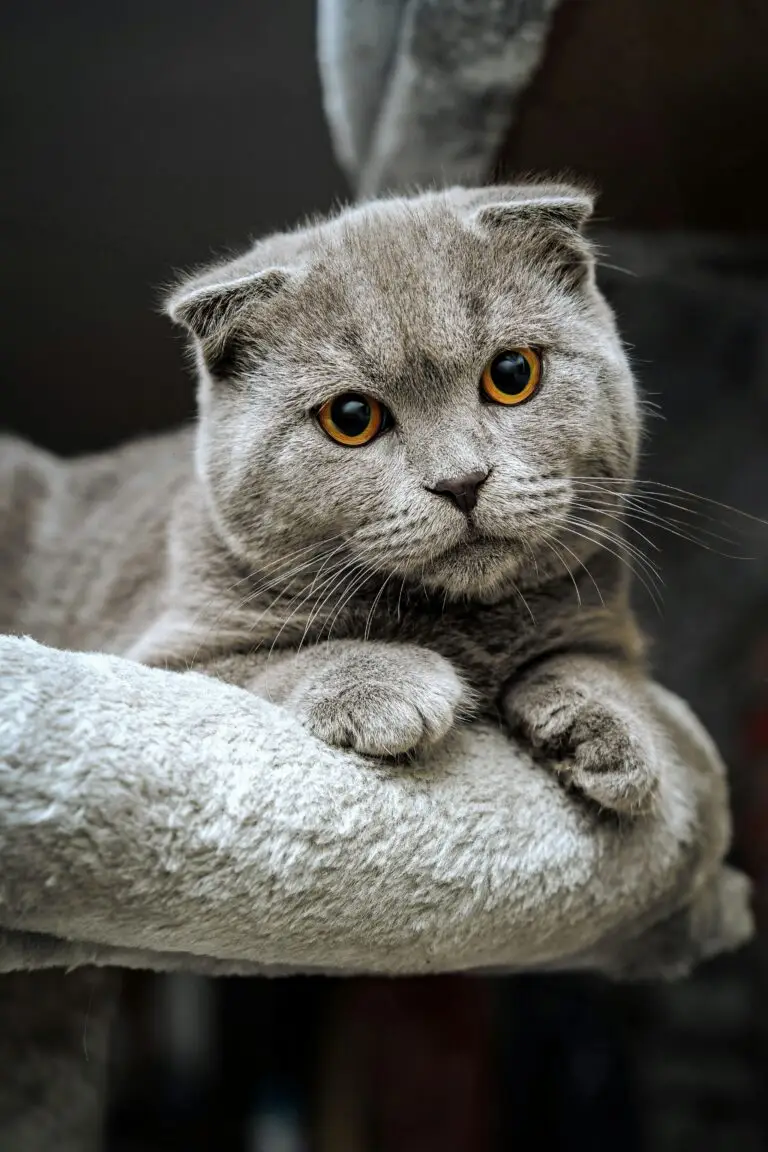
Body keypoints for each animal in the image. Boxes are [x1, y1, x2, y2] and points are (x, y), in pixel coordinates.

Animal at [6, 182, 663, 811]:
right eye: (351, 417)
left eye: (512, 374)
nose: (461, 481)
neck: (458, 622)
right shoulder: (163, 655)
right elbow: (272, 661)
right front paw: (386, 685)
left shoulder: (604, 619)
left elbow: (598, 665)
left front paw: (613, 735)